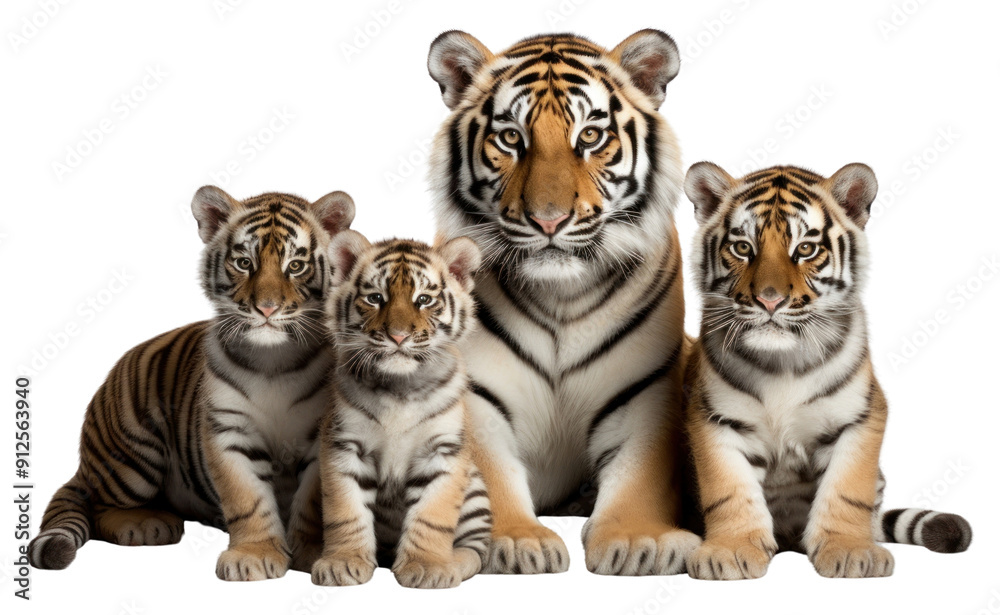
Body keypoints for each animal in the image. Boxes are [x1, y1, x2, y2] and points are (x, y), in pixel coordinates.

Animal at [28, 186, 356, 582]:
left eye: (295, 265)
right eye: (243, 263)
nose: (266, 308)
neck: (273, 359)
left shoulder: (319, 436)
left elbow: (310, 503)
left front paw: (313, 552)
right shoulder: (227, 431)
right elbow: (246, 497)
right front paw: (253, 555)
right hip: (132, 454)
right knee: (101, 506)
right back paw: (146, 525)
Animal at [310, 233, 491, 589]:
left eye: (423, 300)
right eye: (375, 298)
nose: (398, 335)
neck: (400, 386)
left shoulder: (443, 452)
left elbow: (432, 516)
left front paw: (428, 567)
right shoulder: (344, 445)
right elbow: (345, 510)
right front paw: (343, 562)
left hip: (475, 491)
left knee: (476, 549)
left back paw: (453, 562)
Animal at [426, 29, 700, 575]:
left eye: (590, 137)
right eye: (511, 138)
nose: (549, 220)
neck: (561, 294)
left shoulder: (644, 392)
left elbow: (639, 472)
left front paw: (638, 540)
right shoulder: (478, 394)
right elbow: (488, 470)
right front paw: (513, 541)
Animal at [681, 161, 973, 579]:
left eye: (806, 248)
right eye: (742, 247)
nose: (770, 300)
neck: (782, 362)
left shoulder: (860, 417)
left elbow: (847, 490)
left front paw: (851, 552)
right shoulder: (715, 418)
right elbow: (728, 489)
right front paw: (731, 551)